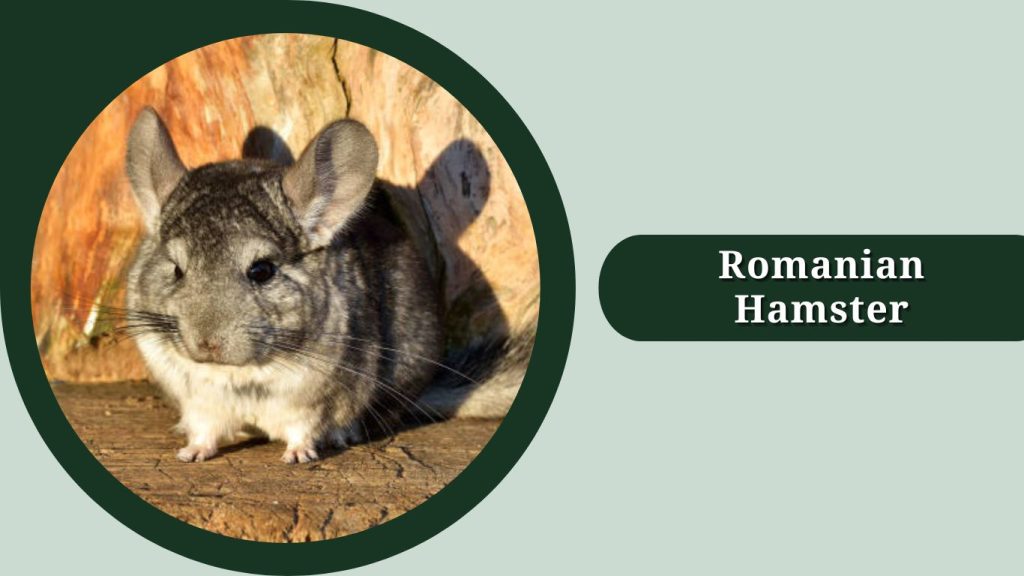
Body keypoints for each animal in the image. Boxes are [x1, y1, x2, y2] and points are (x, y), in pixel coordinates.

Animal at [124, 108, 442, 463]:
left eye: (262, 271)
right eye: (177, 269)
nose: (206, 343)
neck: (238, 374)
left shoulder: (312, 403)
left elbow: (303, 428)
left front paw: (298, 456)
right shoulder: (200, 404)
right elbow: (205, 429)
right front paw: (190, 454)